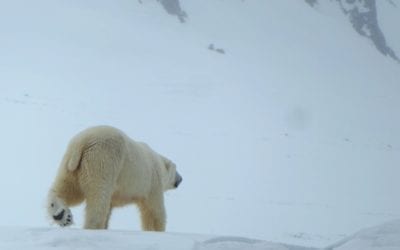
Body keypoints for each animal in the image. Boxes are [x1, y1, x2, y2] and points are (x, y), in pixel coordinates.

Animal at [46, 126, 182, 231]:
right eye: (177, 170)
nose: (181, 179)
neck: (158, 161)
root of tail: (83, 141)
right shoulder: (152, 183)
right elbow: (154, 210)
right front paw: (157, 231)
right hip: (103, 160)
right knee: (98, 199)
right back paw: (93, 227)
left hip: (72, 165)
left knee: (68, 189)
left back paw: (62, 215)